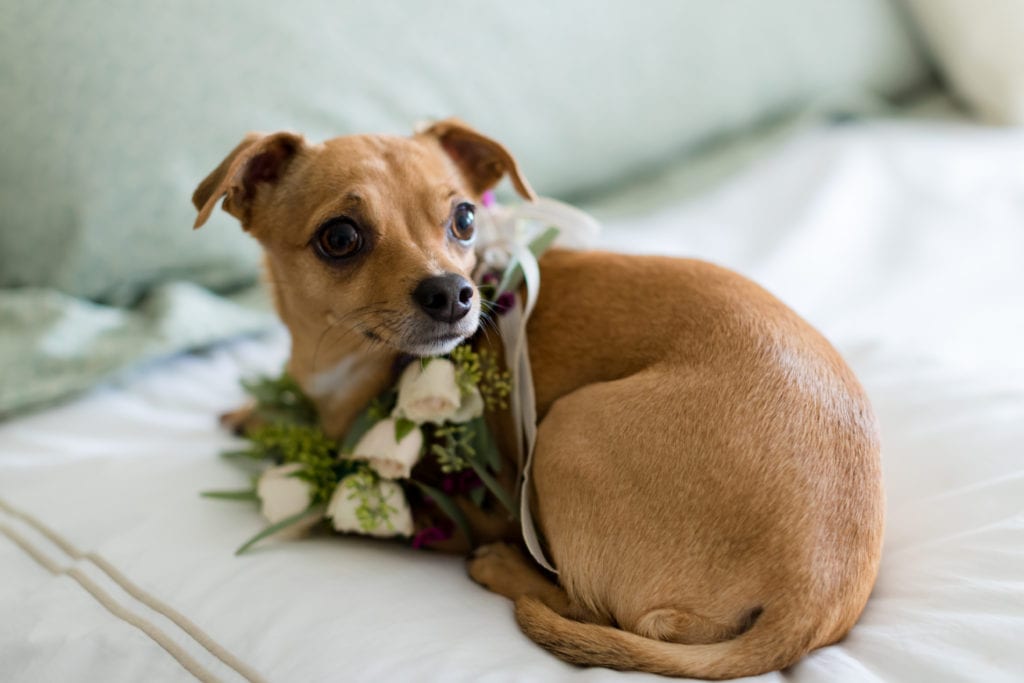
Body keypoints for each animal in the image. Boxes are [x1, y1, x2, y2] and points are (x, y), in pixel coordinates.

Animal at [195, 120, 884, 679]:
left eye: (465, 219)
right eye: (339, 238)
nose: (454, 293)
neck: (339, 367)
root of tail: (809, 602)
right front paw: (256, 413)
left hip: (565, 432)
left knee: (599, 610)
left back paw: (500, 568)